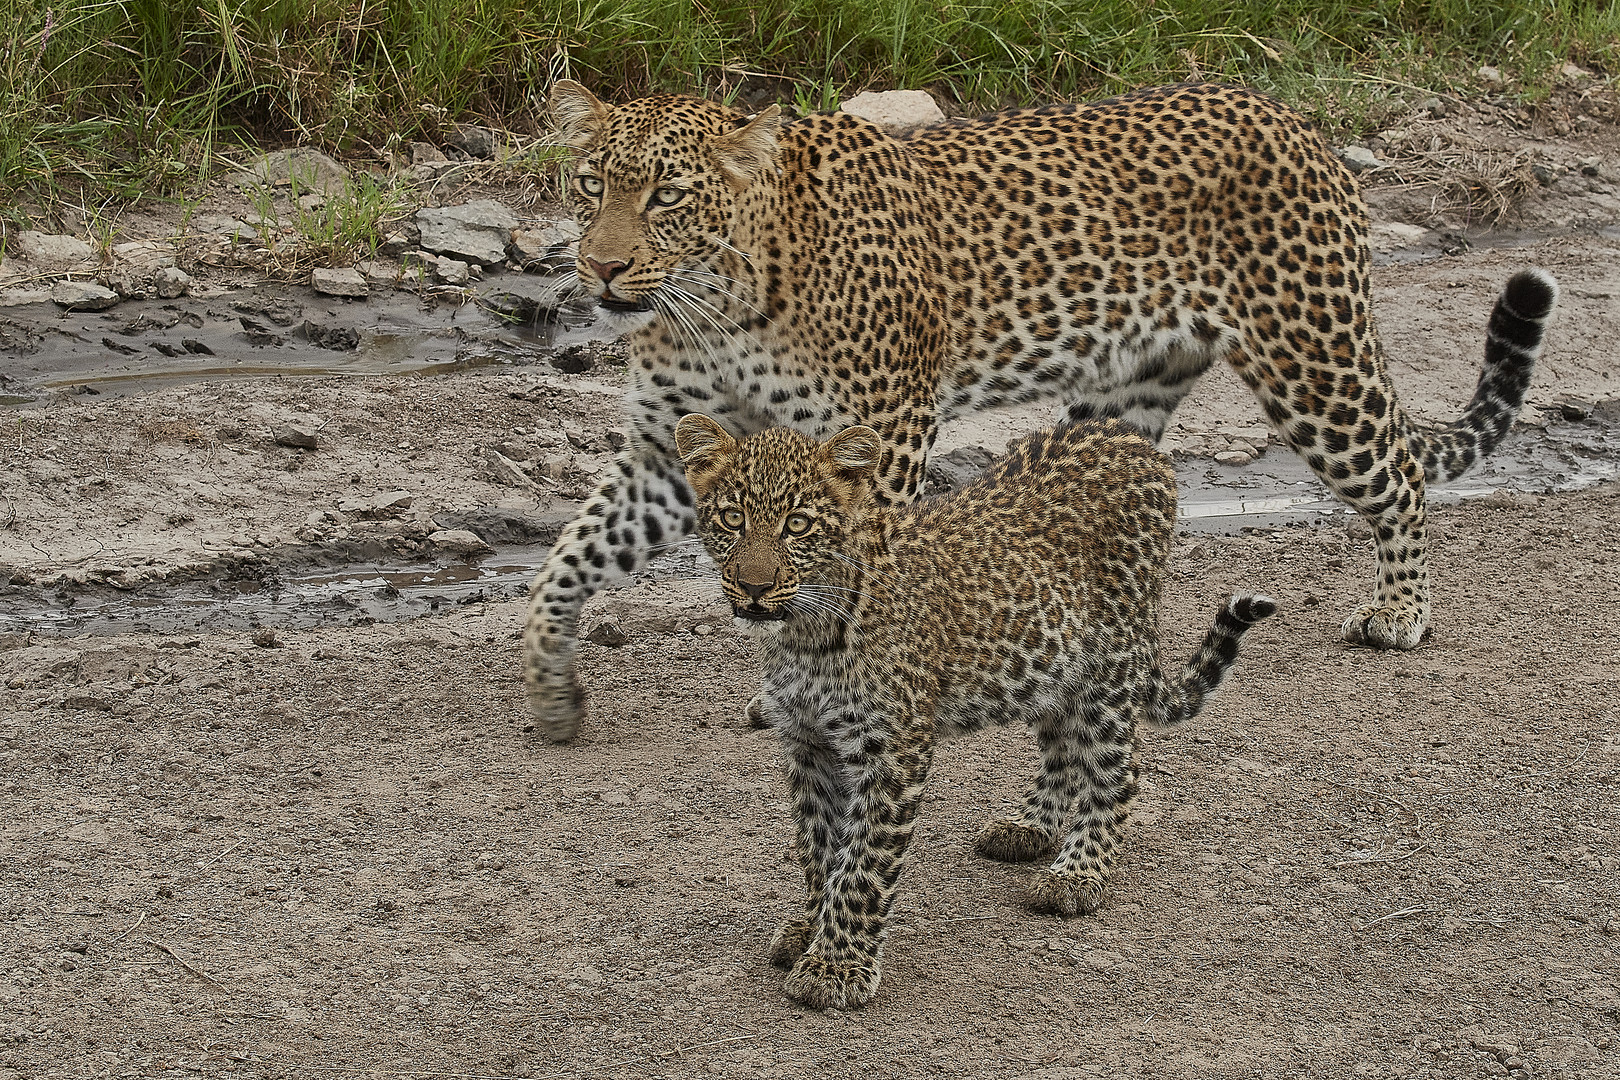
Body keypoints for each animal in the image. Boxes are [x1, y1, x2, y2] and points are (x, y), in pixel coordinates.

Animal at [521, 78, 1555, 744]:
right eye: (590, 184)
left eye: (668, 194)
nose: (600, 267)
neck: (717, 300)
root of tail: (1295, 121)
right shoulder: (667, 453)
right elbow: (567, 562)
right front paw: (552, 692)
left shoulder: (881, 434)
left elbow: (846, 581)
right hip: (1125, 396)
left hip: (1312, 359)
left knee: (1400, 474)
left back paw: (1401, 612)